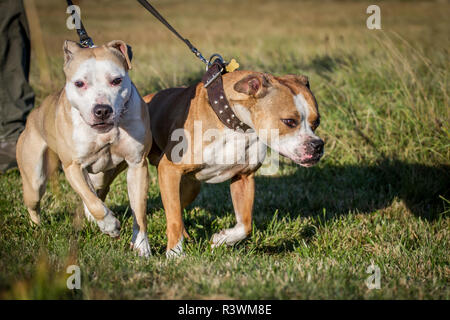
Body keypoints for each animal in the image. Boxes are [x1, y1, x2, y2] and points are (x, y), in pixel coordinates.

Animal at [16, 39, 153, 258]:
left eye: (116, 80)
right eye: (79, 83)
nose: (102, 110)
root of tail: (35, 114)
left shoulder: (137, 165)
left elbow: (138, 211)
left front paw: (141, 246)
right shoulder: (73, 167)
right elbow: (93, 201)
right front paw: (109, 225)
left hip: (102, 177)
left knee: (96, 190)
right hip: (34, 180)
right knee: (36, 203)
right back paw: (38, 227)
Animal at [144, 70, 324, 258]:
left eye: (316, 122)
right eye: (289, 121)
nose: (318, 145)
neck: (235, 124)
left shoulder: (243, 177)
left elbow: (245, 225)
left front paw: (222, 239)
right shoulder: (169, 169)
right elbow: (174, 220)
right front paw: (175, 253)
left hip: (190, 187)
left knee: (177, 209)